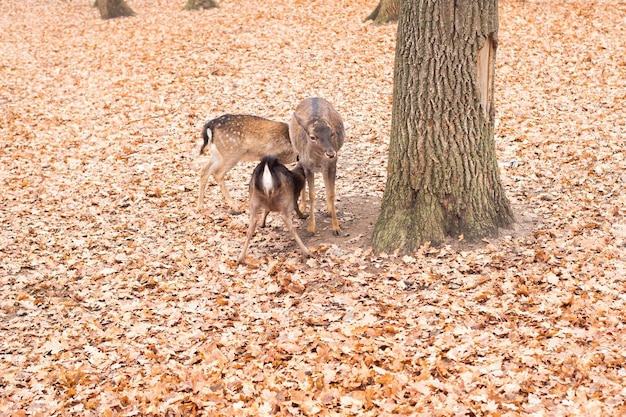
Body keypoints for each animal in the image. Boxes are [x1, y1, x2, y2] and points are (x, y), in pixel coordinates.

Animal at [288, 96, 344, 236]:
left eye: (332, 133)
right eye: (313, 137)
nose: (331, 153)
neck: (318, 160)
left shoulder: (332, 165)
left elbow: (331, 192)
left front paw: (336, 227)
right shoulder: (308, 167)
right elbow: (312, 195)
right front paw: (310, 229)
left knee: (325, 178)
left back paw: (328, 209)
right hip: (297, 152)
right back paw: (302, 206)